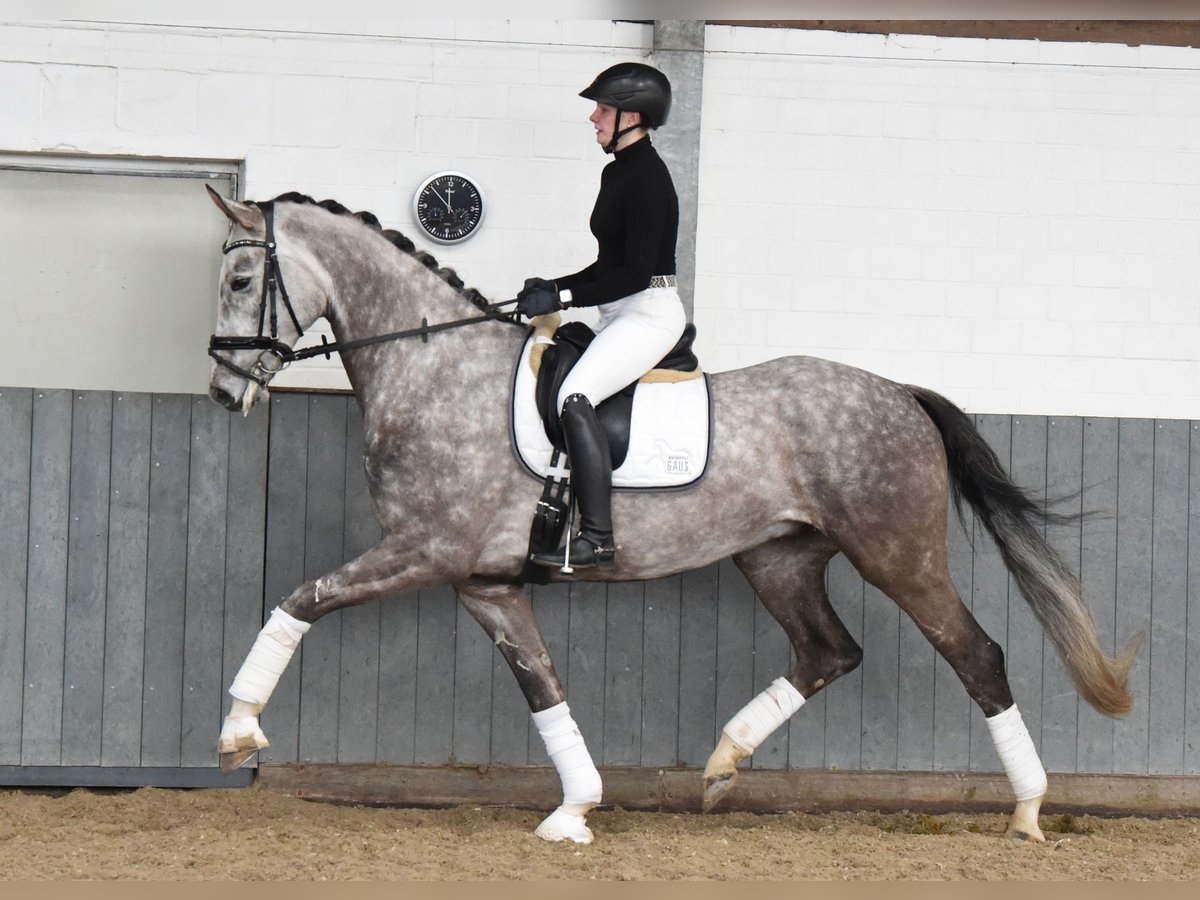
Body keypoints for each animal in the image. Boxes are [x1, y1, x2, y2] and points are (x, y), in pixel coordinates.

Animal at [204, 187, 1132, 849]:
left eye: (242, 281)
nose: (221, 391)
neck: (435, 370)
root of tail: (899, 393)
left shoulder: (424, 551)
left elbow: (299, 600)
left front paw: (238, 731)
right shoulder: (485, 582)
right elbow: (543, 686)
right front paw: (575, 809)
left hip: (897, 555)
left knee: (975, 654)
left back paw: (1028, 812)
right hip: (779, 557)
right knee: (830, 651)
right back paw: (723, 765)